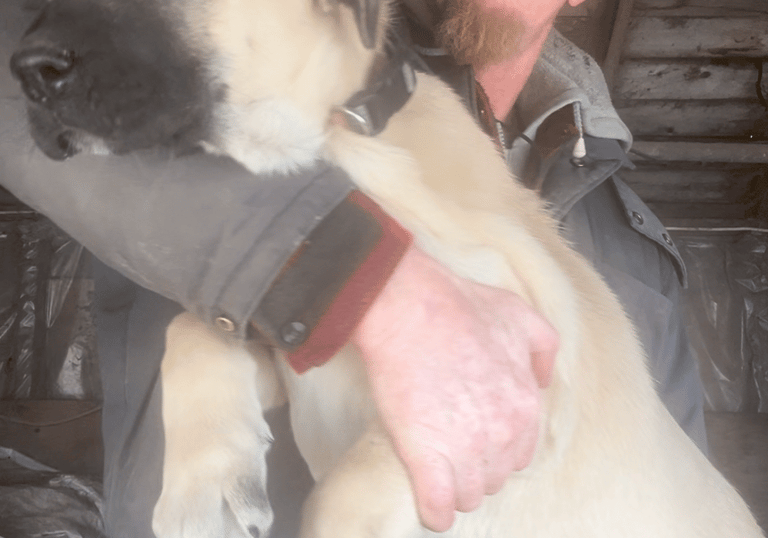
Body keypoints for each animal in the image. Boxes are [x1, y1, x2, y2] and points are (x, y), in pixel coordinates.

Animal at [10, 0, 765, 537]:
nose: (24, 69)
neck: (345, 137)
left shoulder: (505, 395)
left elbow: (344, 497)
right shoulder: (304, 338)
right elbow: (190, 333)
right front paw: (206, 483)